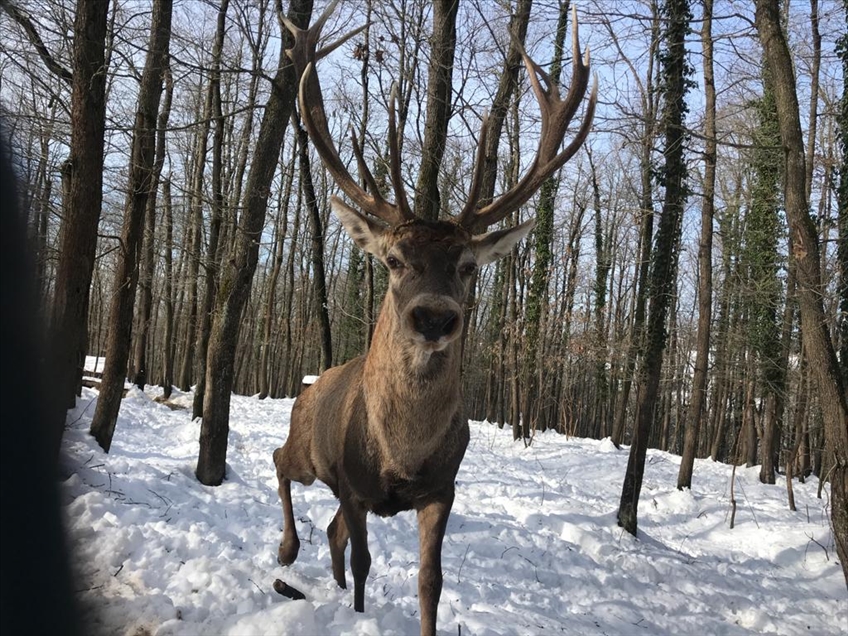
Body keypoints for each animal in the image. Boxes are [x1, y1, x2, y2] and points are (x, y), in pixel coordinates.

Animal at [274, 2, 596, 632]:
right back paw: (286, 550)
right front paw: (358, 611)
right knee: (280, 462)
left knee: (332, 531)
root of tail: (313, 381)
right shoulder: (354, 484)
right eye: (394, 260)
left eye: (468, 266)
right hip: (309, 452)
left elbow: (430, 582)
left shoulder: (443, 489)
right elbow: (367, 561)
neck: (400, 457)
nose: (434, 317)